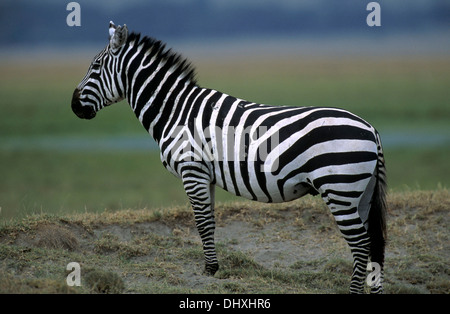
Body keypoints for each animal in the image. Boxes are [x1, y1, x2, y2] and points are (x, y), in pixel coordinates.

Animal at [71, 21, 386, 292]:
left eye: (95, 66)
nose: (73, 106)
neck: (176, 110)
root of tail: (370, 128)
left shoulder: (192, 170)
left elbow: (201, 222)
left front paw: (210, 270)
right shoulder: (205, 175)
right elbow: (209, 220)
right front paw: (213, 267)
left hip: (340, 188)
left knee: (361, 245)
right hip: (361, 192)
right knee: (373, 244)